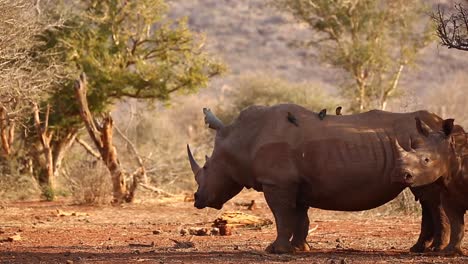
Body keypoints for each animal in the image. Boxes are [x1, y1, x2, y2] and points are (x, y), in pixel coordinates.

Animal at [188, 103, 456, 254]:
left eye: (207, 166)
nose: (197, 199)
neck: (240, 138)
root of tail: (440, 124)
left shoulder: (277, 182)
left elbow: (281, 216)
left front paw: (276, 250)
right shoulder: (296, 183)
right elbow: (300, 217)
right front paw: (300, 248)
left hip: (426, 154)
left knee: (431, 199)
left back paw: (433, 250)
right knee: (426, 198)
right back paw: (420, 249)